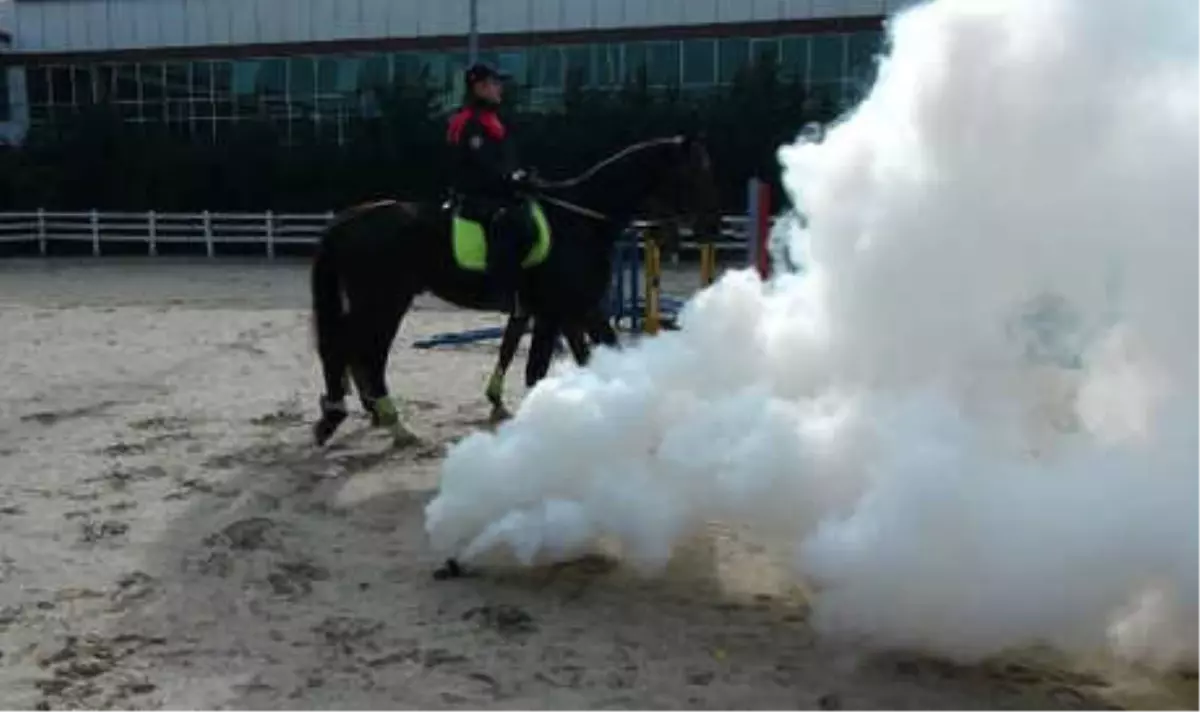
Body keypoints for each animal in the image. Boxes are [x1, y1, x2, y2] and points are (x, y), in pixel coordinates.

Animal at [314, 133, 715, 444]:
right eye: (694, 174)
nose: (710, 227)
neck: (578, 221)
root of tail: (348, 219)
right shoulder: (555, 313)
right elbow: (537, 369)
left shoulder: (579, 309)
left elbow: (598, 355)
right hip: (384, 301)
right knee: (363, 352)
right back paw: (388, 423)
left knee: (353, 350)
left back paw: (360, 414)